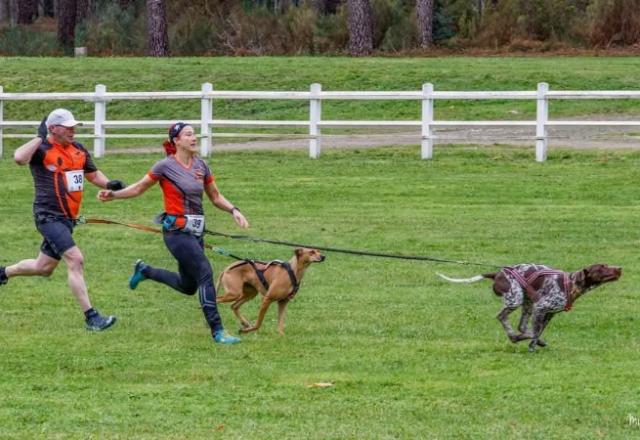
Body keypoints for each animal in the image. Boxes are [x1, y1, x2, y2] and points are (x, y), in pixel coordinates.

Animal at [438, 262, 624, 352]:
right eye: (601, 267)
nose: (620, 269)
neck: (571, 284)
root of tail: (497, 273)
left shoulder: (549, 314)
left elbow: (538, 331)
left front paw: (534, 344)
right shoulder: (540, 308)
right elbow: (535, 332)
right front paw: (531, 347)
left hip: (527, 303)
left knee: (522, 326)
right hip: (516, 299)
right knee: (503, 317)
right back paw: (514, 336)